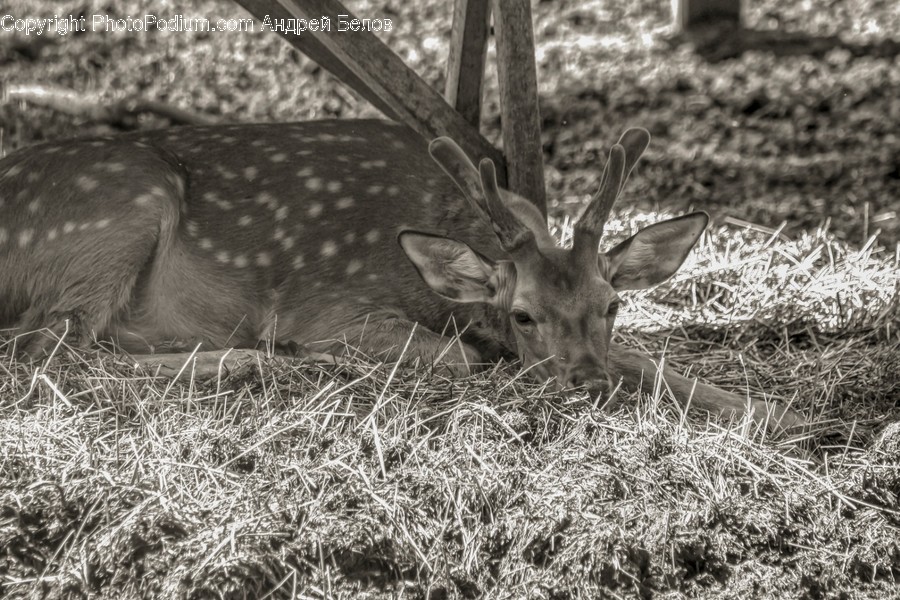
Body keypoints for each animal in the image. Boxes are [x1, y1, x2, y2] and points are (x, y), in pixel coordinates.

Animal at [0, 120, 802, 431]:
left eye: (611, 305)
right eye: (523, 314)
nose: (587, 382)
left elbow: (653, 360)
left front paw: (769, 411)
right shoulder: (330, 305)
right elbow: (463, 356)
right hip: (125, 210)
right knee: (50, 353)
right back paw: (262, 361)